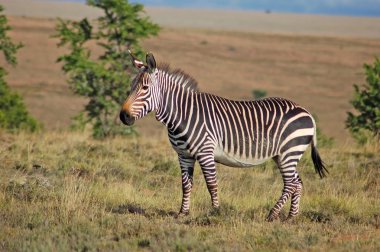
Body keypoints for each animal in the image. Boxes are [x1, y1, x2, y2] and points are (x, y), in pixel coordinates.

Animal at [119, 51, 326, 220]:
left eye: (144, 88)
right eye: (131, 86)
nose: (123, 116)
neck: (183, 115)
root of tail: (307, 112)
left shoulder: (205, 152)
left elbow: (211, 184)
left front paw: (215, 212)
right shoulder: (183, 155)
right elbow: (186, 185)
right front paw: (182, 213)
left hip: (289, 152)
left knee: (290, 184)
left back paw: (272, 214)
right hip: (284, 155)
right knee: (297, 183)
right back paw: (291, 216)